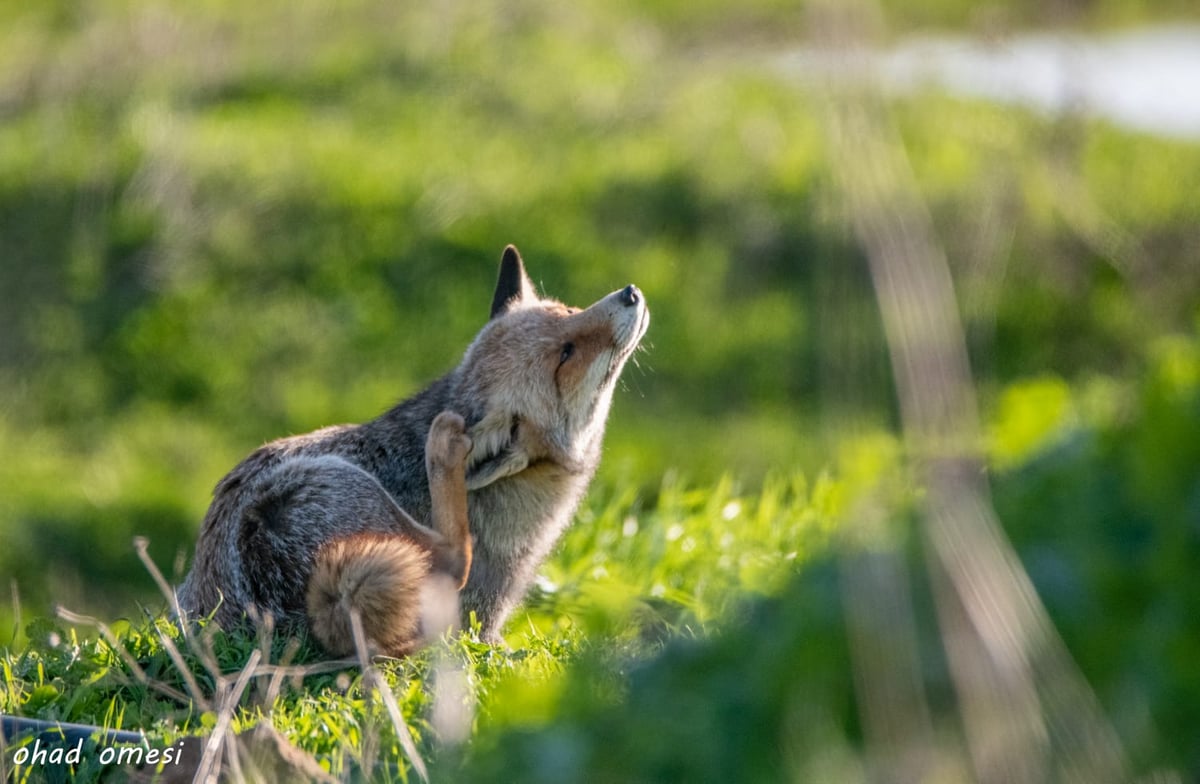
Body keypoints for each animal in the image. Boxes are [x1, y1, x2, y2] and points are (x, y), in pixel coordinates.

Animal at [174, 244, 652, 653]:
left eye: (567, 313)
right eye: (565, 356)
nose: (631, 293)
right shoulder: (477, 616)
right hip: (325, 486)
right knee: (451, 558)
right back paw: (443, 450)